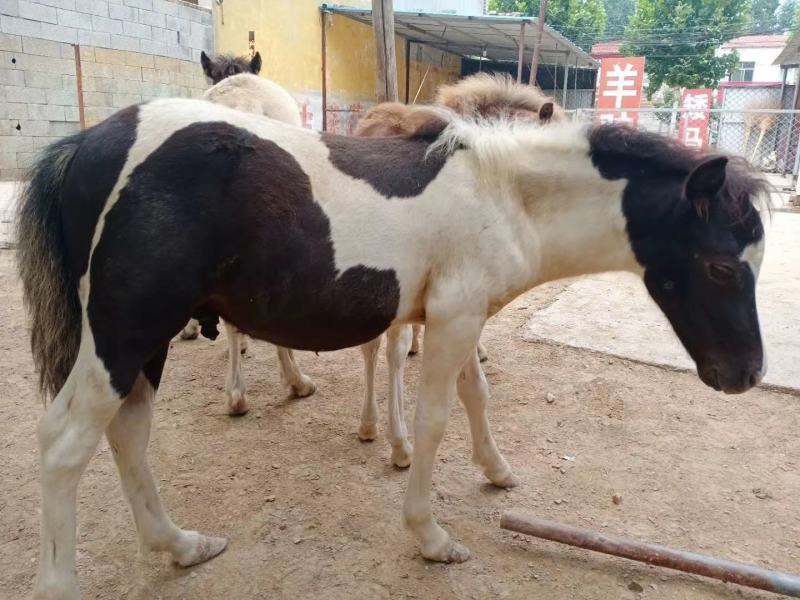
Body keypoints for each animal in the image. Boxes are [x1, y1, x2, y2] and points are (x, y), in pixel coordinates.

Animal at [18, 99, 767, 598]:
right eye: (721, 267)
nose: (747, 374)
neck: (505, 195)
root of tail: (85, 145)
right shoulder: (455, 318)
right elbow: (436, 421)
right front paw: (431, 537)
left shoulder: (460, 315)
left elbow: (475, 394)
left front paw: (497, 471)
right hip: (125, 328)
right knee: (63, 444)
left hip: (144, 339)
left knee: (128, 432)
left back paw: (179, 546)